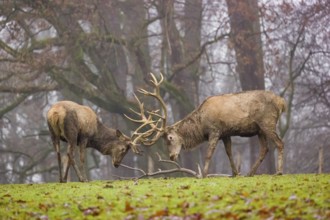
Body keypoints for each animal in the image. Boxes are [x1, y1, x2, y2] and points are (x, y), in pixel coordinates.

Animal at [127, 73, 286, 177]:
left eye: (170, 138)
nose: (172, 156)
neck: (201, 125)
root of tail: (281, 102)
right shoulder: (226, 133)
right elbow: (229, 152)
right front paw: (235, 173)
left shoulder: (215, 130)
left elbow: (209, 153)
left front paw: (203, 174)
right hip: (260, 129)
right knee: (265, 149)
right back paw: (250, 173)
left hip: (268, 122)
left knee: (279, 143)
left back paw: (279, 171)